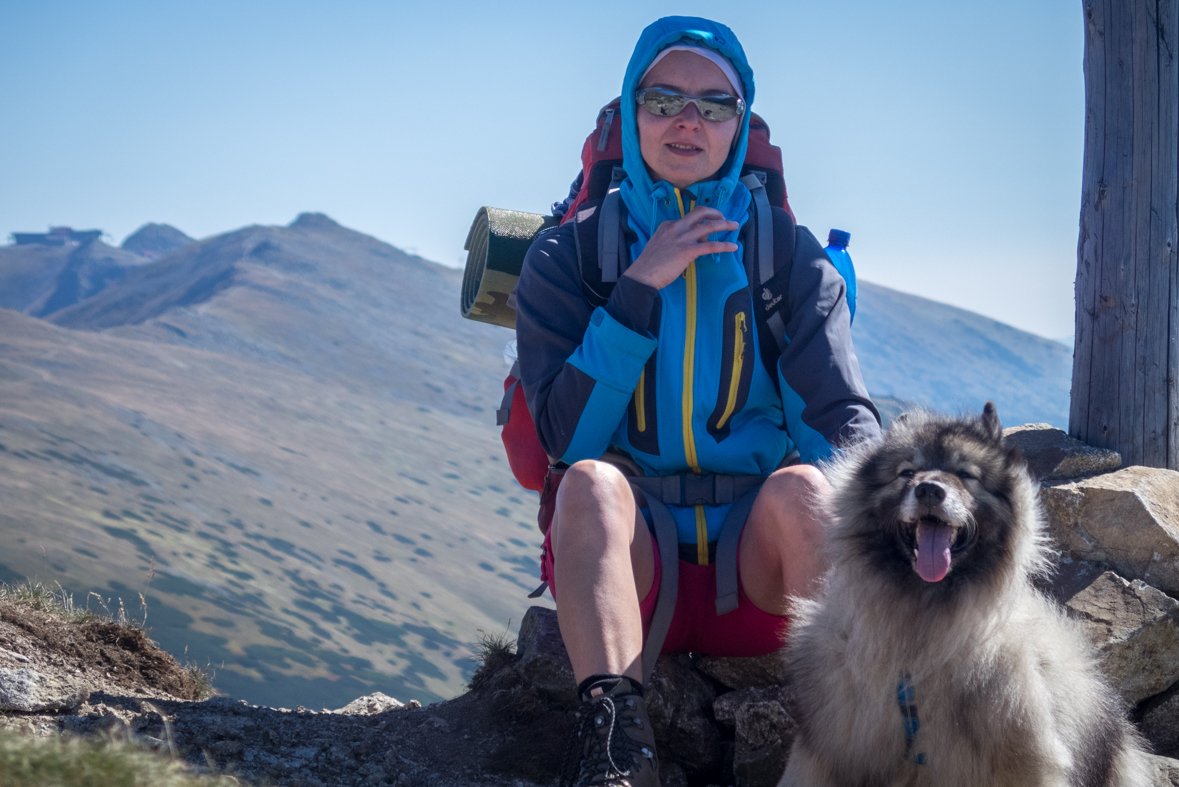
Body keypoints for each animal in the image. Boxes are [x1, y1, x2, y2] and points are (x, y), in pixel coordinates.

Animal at [778, 405, 1145, 787]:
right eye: (907, 472)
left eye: (966, 474)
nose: (928, 490)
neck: (920, 639)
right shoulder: (826, 752)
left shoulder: (1023, 761)